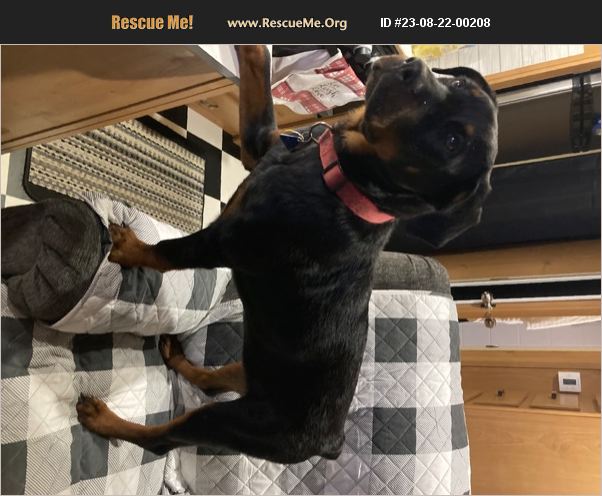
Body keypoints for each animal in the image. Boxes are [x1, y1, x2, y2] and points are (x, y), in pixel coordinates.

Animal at [76, 45, 498, 463]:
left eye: (452, 142)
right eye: (459, 82)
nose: (411, 67)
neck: (338, 178)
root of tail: (329, 443)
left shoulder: (229, 242)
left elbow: (168, 252)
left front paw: (129, 248)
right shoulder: (262, 145)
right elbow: (258, 75)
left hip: (237, 422)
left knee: (164, 438)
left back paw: (101, 417)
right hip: (253, 368)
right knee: (215, 380)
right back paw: (176, 358)